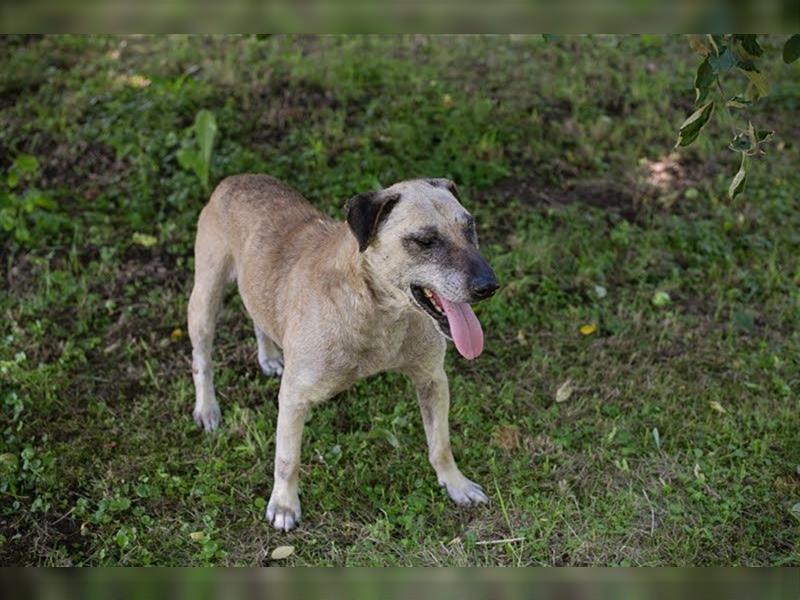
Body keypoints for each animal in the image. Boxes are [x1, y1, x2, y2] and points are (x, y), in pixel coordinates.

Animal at [190, 176, 496, 532]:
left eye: (469, 226)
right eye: (425, 241)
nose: (489, 286)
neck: (379, 310)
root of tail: (235, 179)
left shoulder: (432, 380)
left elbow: (441, 444)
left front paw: (456, 483)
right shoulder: (294, 398)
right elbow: (287, 459)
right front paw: (284, 505)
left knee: (259, 316)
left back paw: (269, 356)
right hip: (204, 300)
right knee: (201, 360)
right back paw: (207, 408)